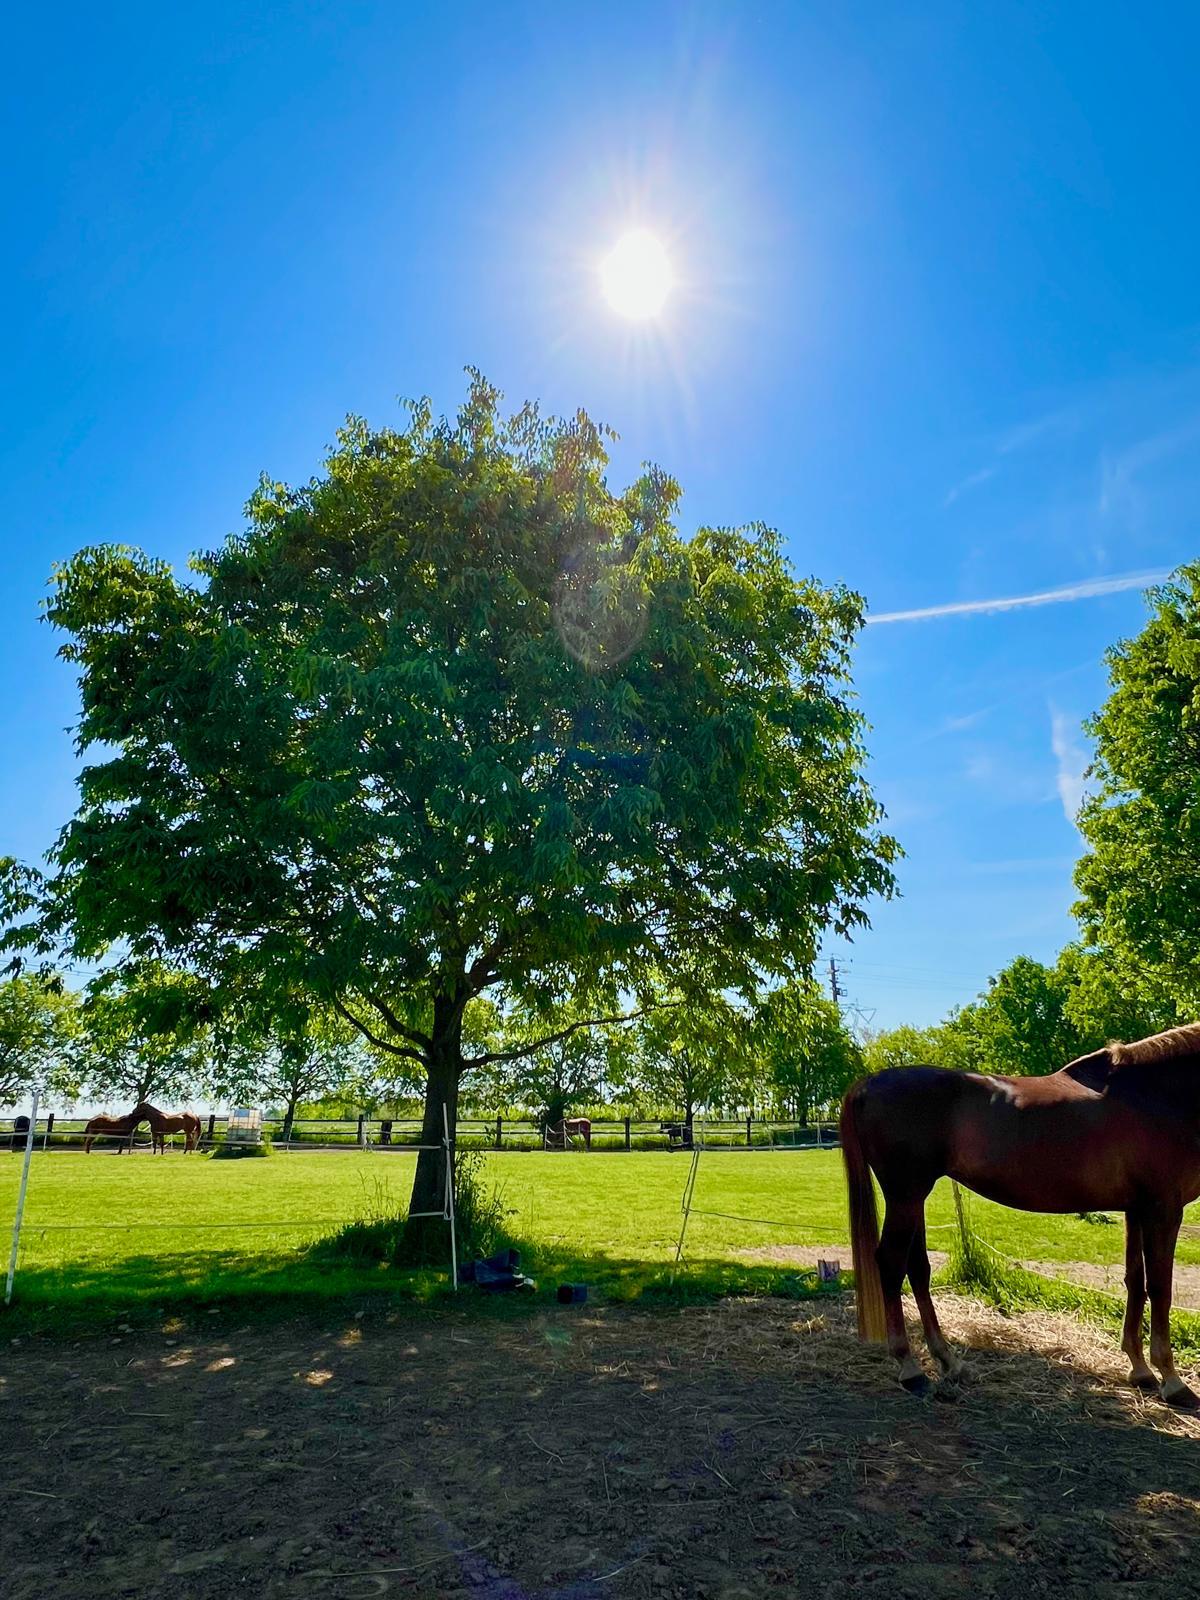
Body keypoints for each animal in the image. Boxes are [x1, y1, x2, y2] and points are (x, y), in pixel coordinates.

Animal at [841, 1022, 1200, 1409]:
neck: (1155, 1094)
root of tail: (868, 1082)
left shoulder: (1137, 1209)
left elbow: (1136, 1282)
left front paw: (1140, 1370)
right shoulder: (1163, 1209)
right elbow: (1160, 1288)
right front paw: (1172, 1380)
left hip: (913, 1198)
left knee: (918, 1269)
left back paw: (949, 1361)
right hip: (905, 1195)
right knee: (891, 1265)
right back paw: (910, 1369)